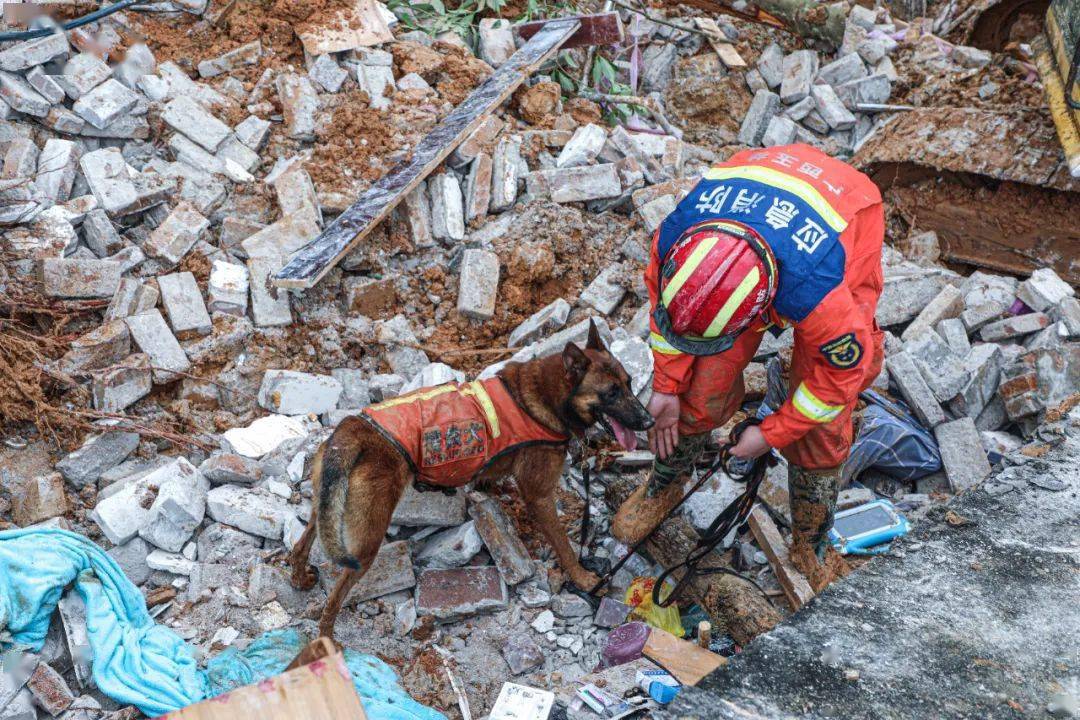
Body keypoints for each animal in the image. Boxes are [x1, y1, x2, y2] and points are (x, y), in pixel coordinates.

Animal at [287, 321, 652, 634]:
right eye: (610, 393)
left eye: (630, 383)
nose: (649, 421)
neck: (547, 395)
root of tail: (353, 429)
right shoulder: (539, 497)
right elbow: (563, 544)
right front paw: (584, 578)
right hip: (365, 545)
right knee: (335, 597)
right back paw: (328, 638)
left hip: (328, 506)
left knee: (301, 542)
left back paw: (299, 578)